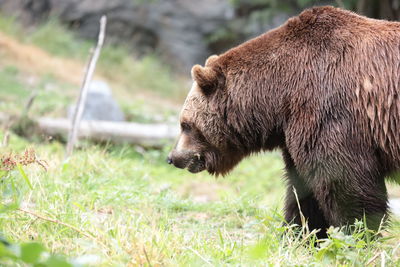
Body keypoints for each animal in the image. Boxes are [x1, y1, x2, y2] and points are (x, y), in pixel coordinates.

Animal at [167, 5, 400, 238]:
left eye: (184, 124)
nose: (173, 157)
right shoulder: (297, 131)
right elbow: (303, 191)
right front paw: (298, 233)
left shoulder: (331, 112)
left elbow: (346, 185)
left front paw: (354, 234)